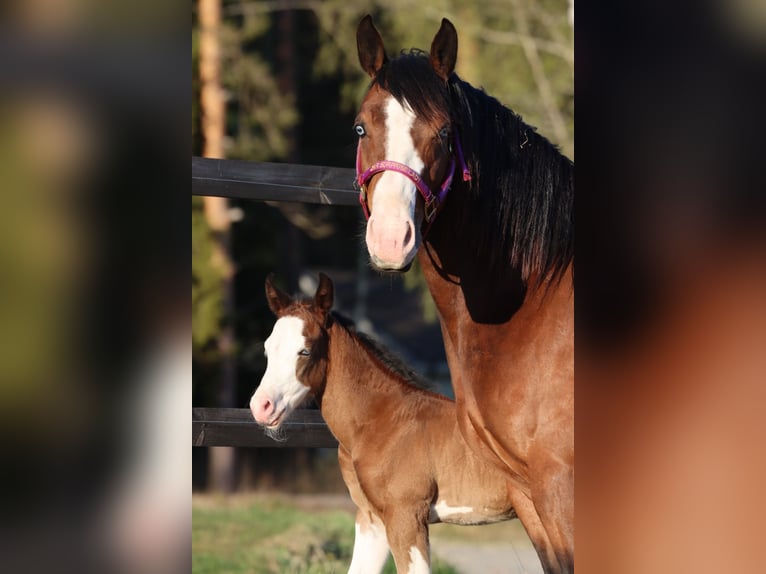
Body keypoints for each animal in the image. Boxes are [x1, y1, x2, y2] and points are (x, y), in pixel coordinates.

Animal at [250, 273, 519, 574]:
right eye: (267, 348)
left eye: (305, 351)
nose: (261, 406)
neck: (381, 421)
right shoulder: (372, 519)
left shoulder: (406, 516)